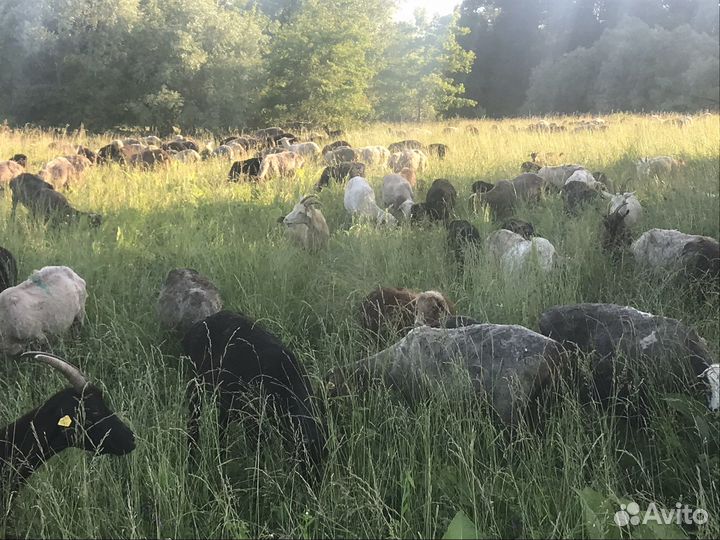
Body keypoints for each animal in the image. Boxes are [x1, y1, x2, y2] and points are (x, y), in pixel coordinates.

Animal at [182, 310, 326, 476]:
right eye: (305, 461)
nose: (315, 481)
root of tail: (197, 326)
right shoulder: (251, 415)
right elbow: (258, 446)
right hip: (196, 384)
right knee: (193, 424)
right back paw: (191, 460)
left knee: (221, 429)